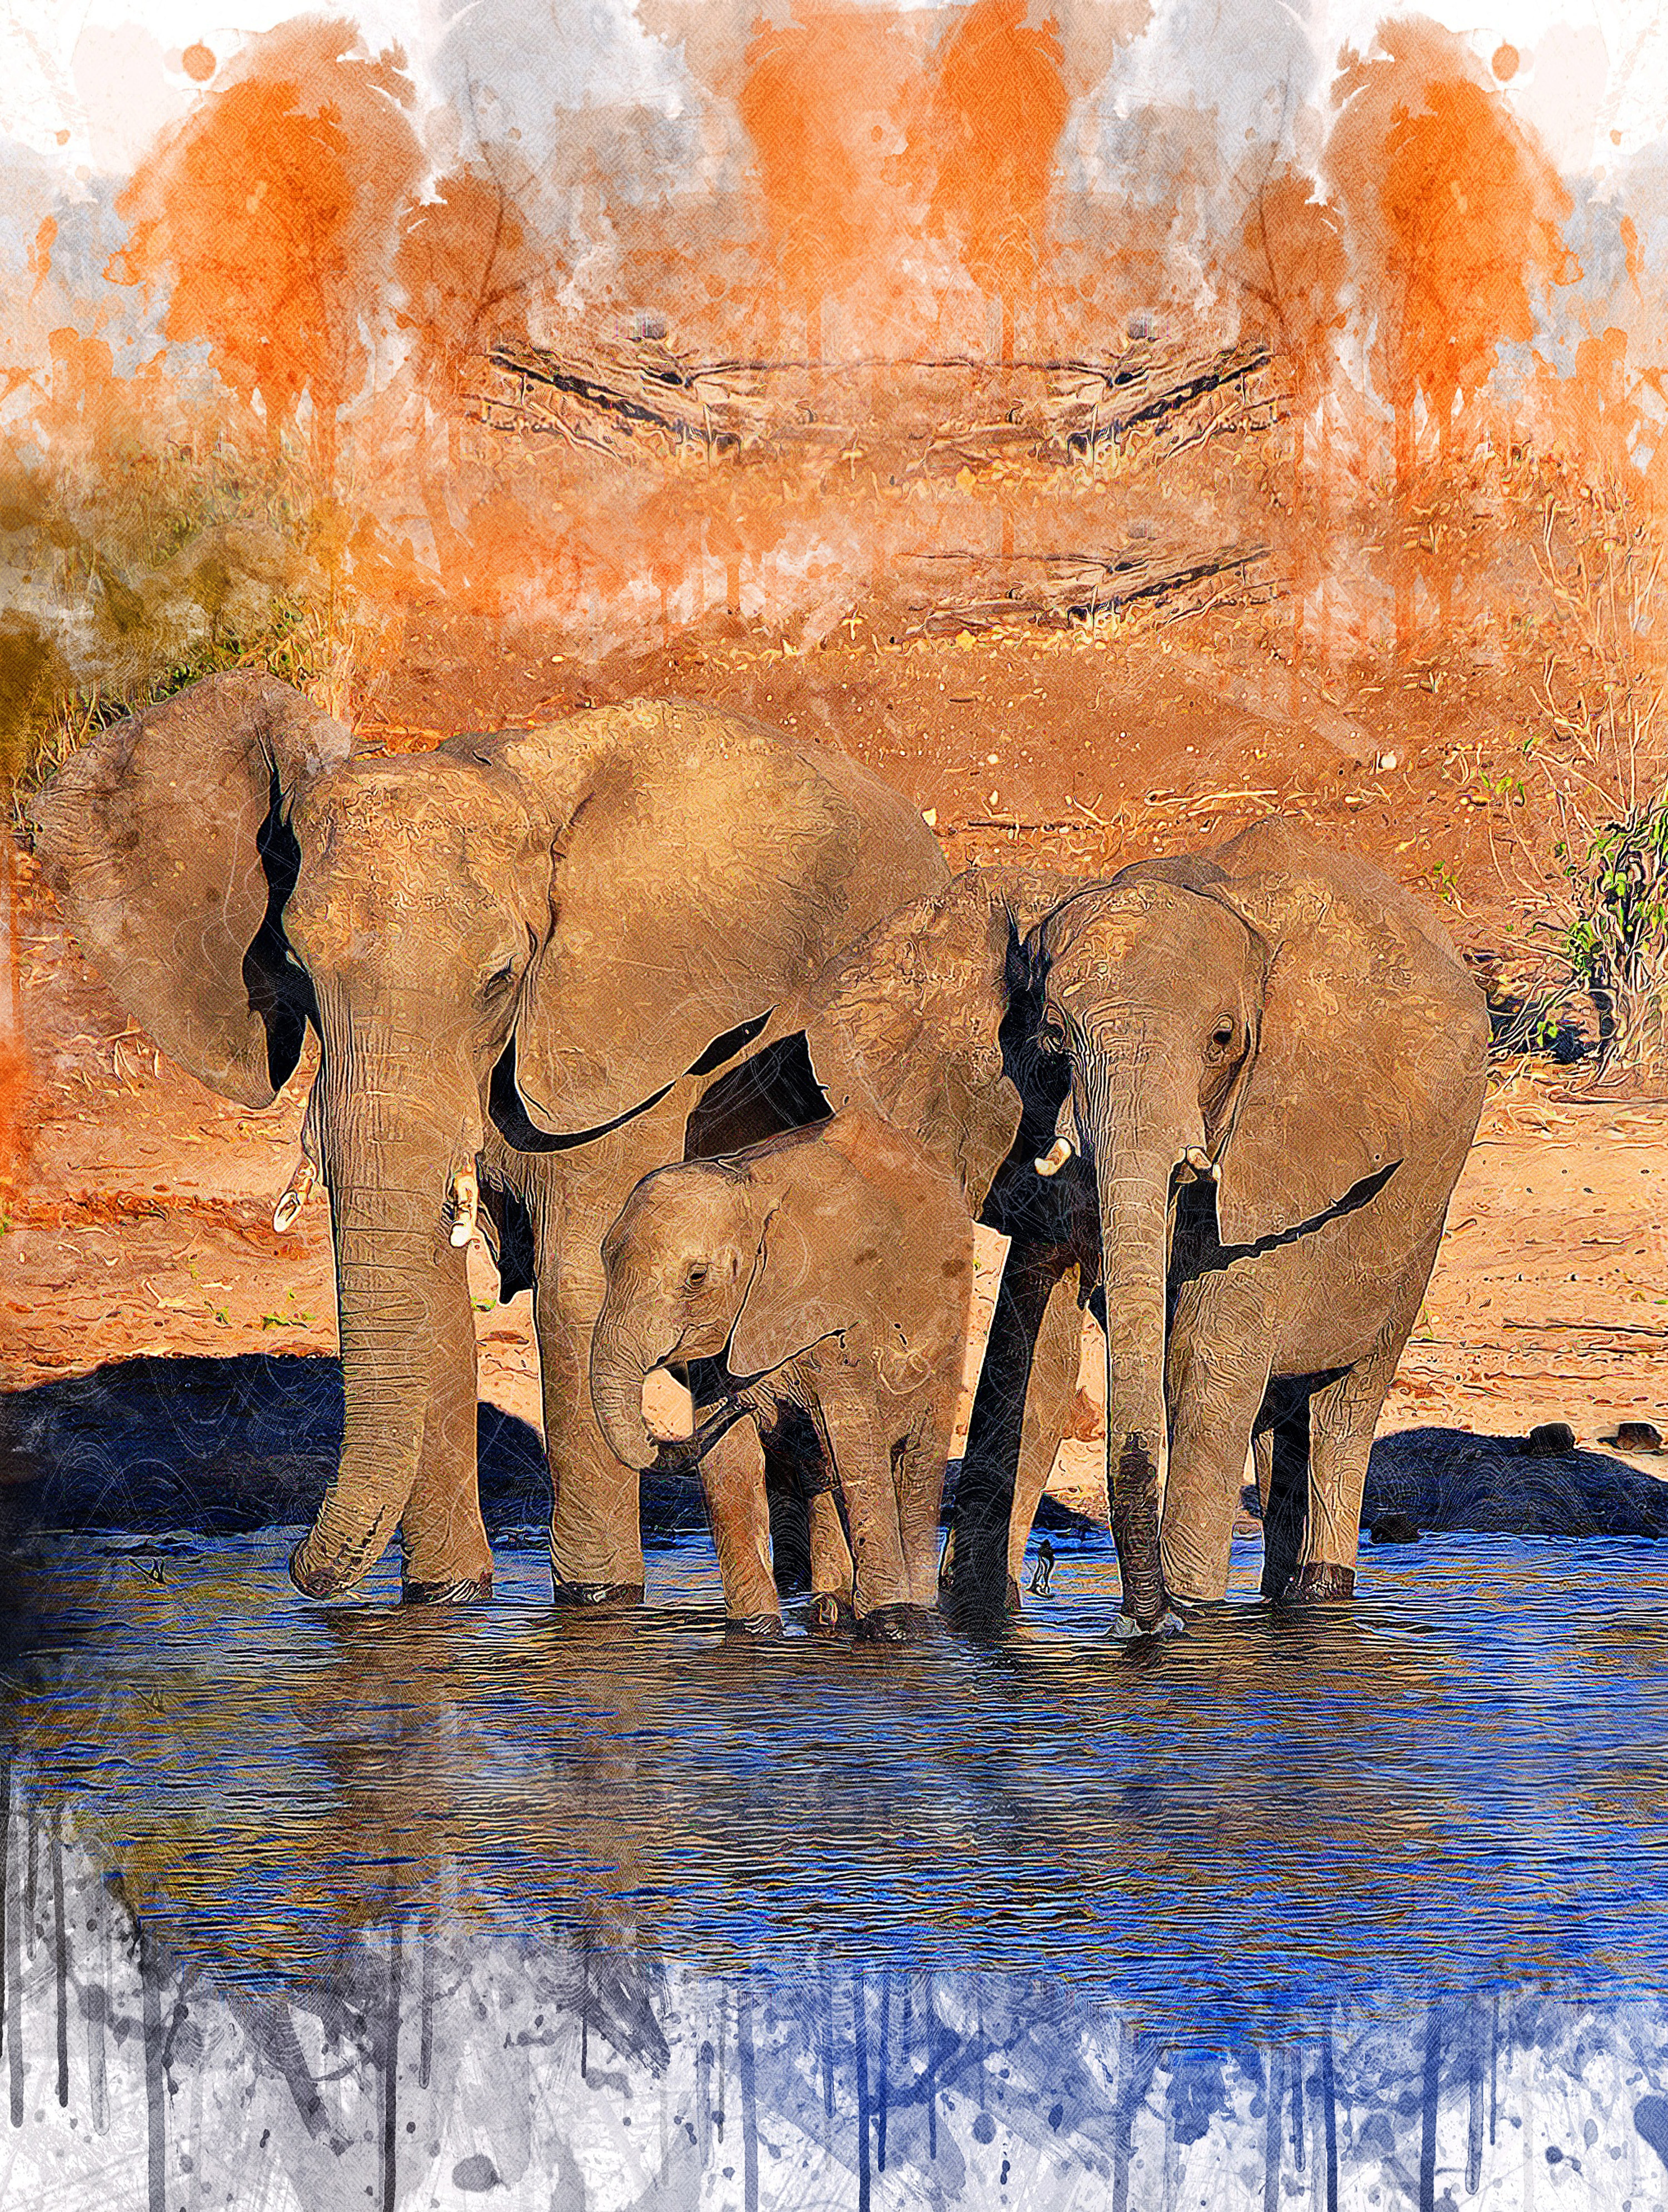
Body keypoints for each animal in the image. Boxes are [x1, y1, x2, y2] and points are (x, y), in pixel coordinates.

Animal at [27, 671, 946, 1606]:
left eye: (500, 978)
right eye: (291, 965)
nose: (296, 1573)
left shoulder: (632, 1034)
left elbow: (578, 1287)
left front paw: (600, 1605)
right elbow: (428, 1291)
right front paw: (444, 1601)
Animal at [589, 1105, 975, 1639]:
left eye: (696, 1278)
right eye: (605, 1260)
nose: (742, 1405)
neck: (748, 1187)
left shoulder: (837, 1307)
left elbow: (855, 1442)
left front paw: (893, 1628)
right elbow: (730, 1464)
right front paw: (755, 1633)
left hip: (949, 1328)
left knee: (916, 1463)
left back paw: (917, 1613)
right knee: (820, 1465)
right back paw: (830, 1609)